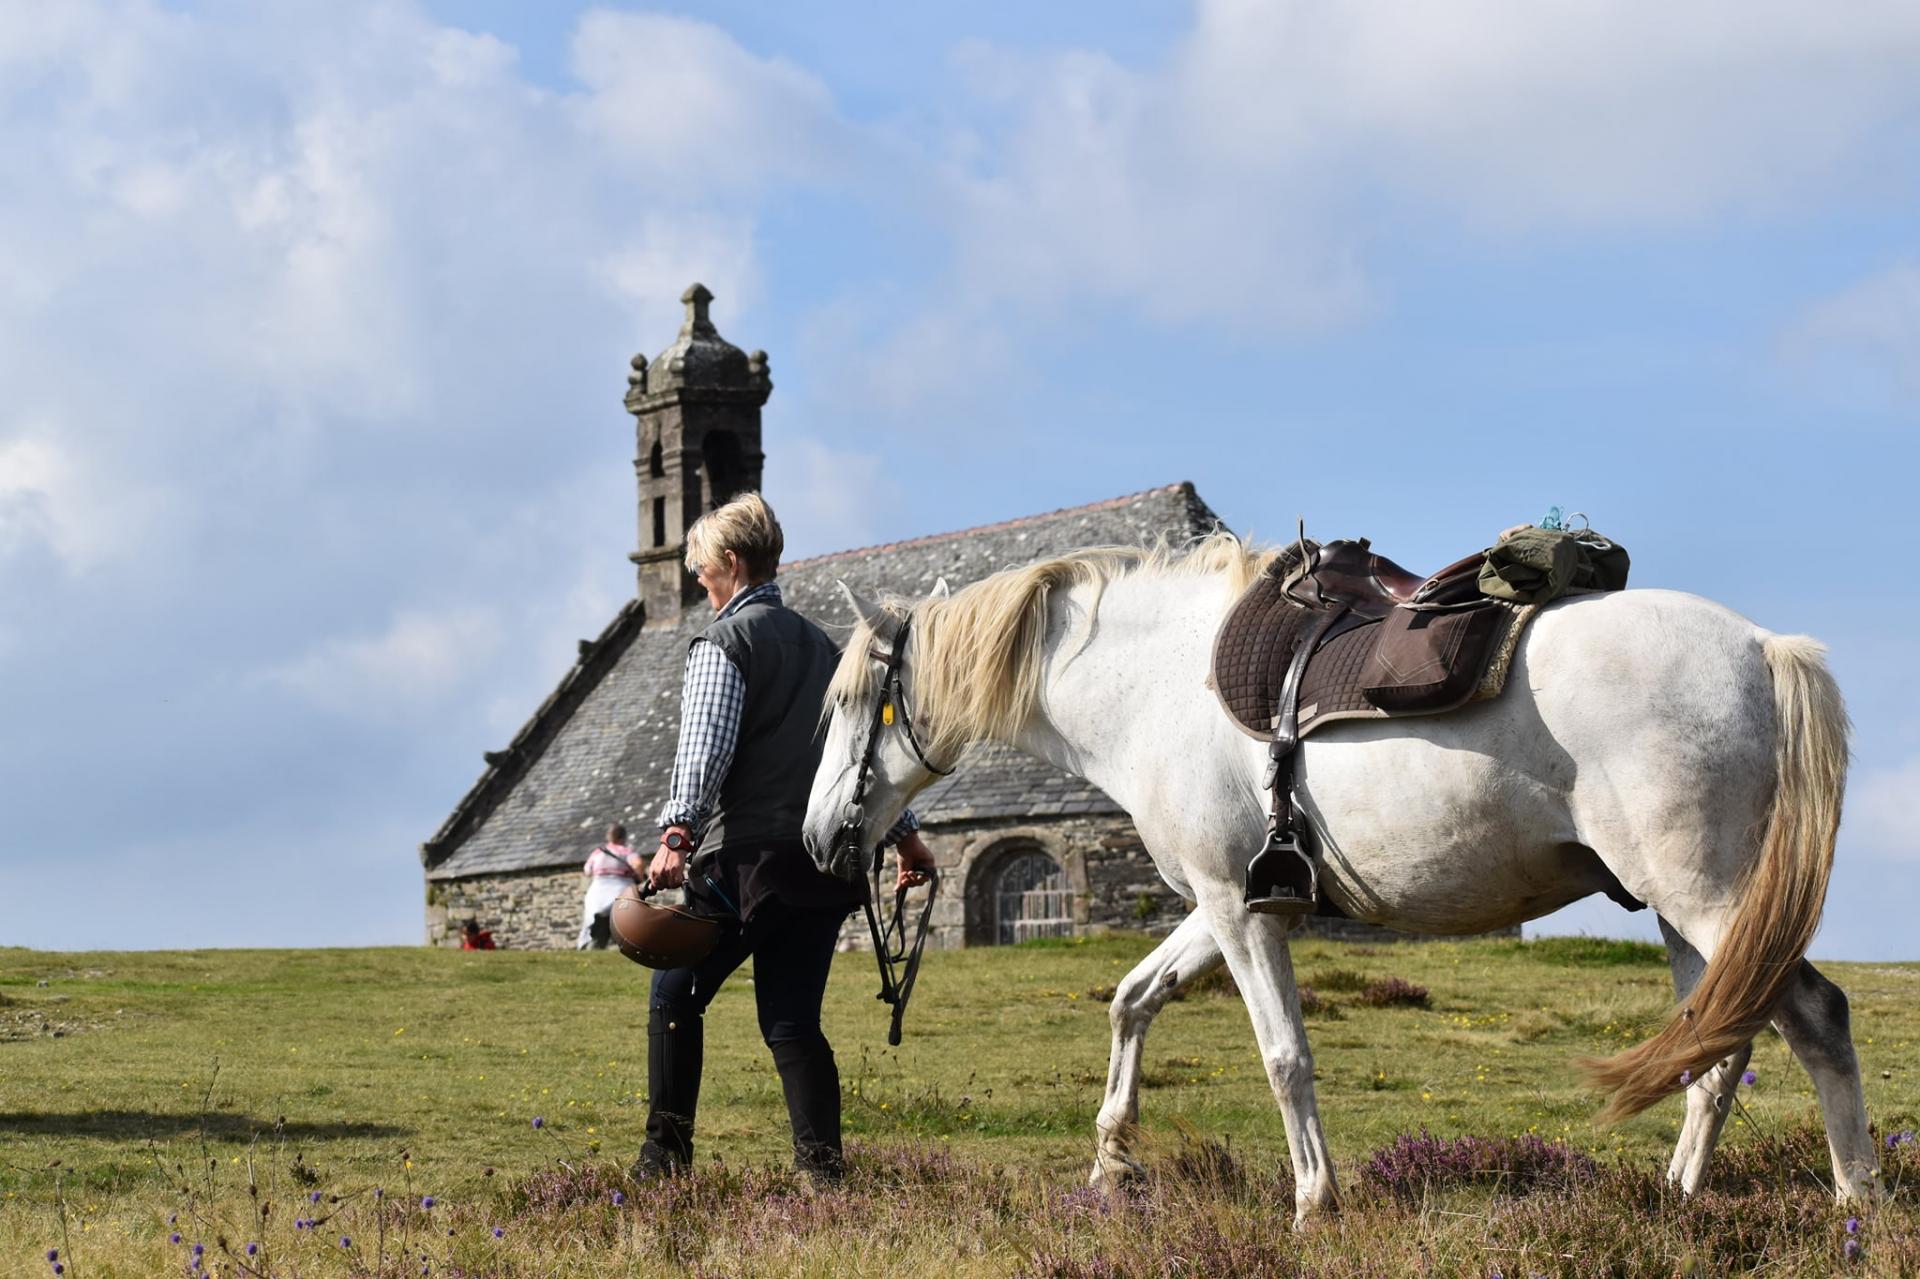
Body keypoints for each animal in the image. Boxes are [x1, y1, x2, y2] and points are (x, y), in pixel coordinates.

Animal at [802, 530, 1881, 1229]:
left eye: (856, 703)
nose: (818, 839)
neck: (1156, 686)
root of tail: (1763, 650)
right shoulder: (1223, 903)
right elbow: (1131, 999)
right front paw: (1111, 1163)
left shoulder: (1239, 911)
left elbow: (1285, 1055)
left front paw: (1314, 1202)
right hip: (1686, 916)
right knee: (1719, 1048)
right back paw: (1676, 1200)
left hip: (1709, 898)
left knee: (1814, 1019)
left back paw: (1857, 1202)